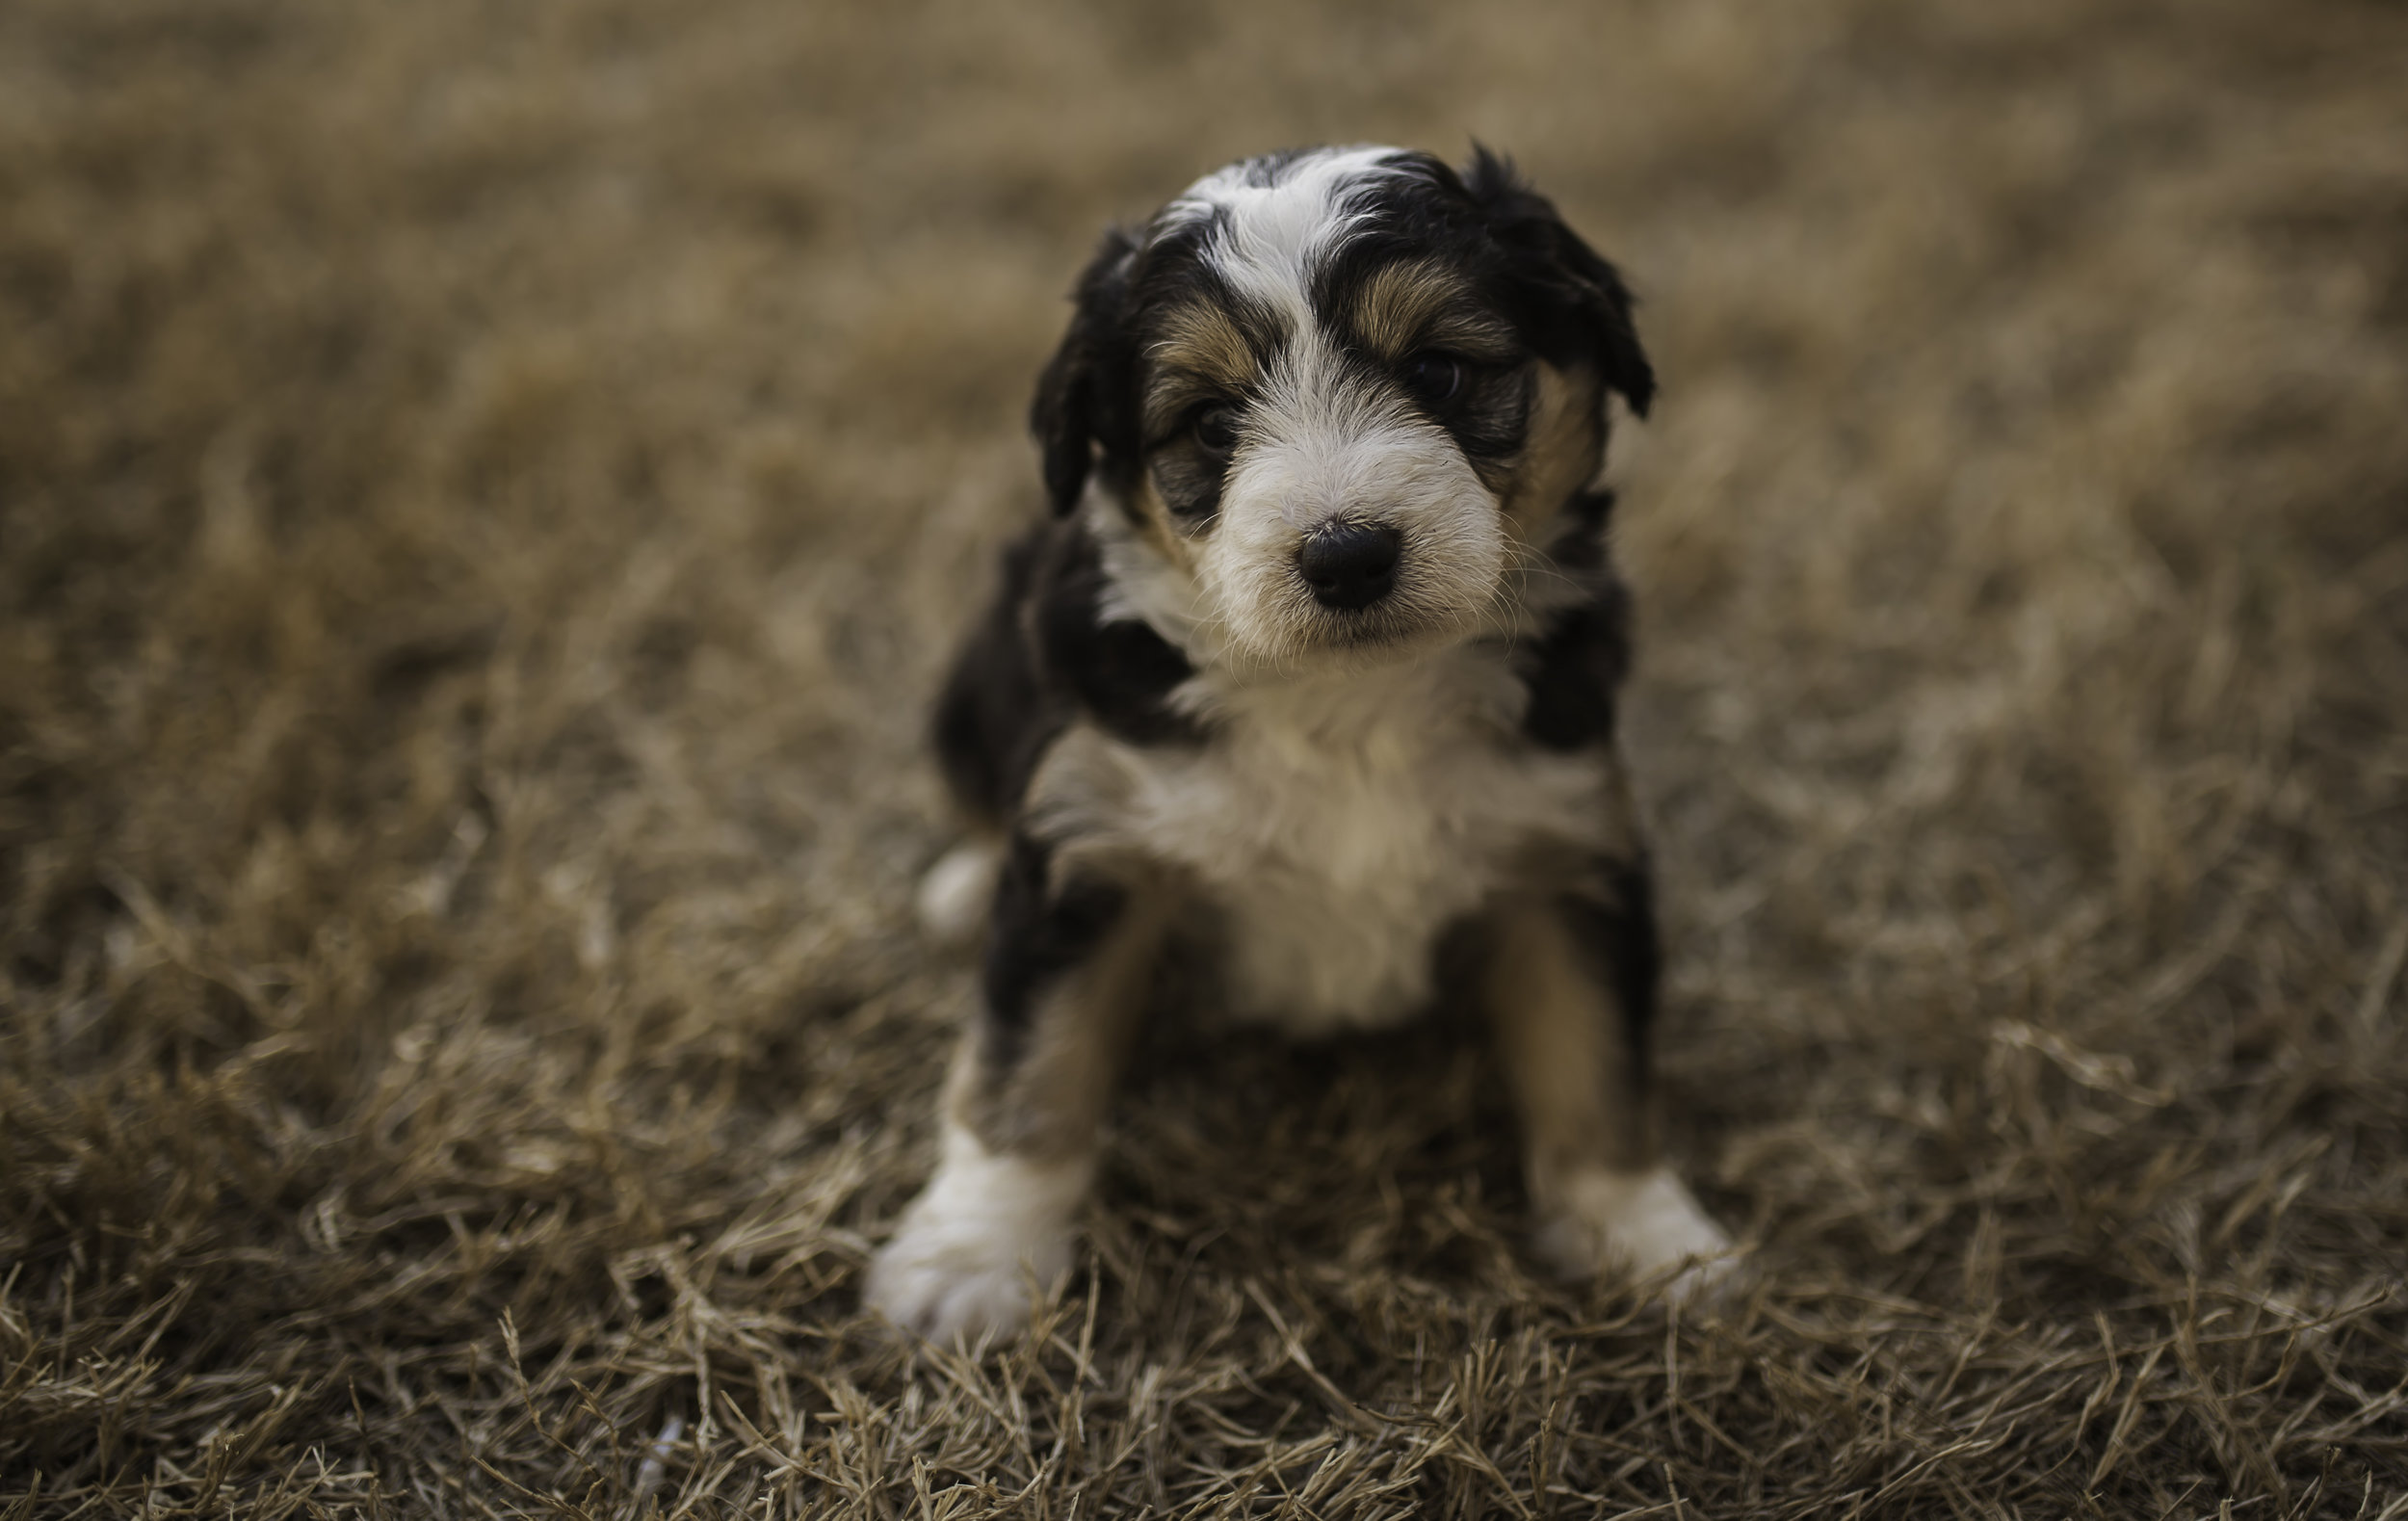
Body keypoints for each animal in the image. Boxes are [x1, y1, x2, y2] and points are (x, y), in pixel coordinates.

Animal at [867, 145, 1734, 1338]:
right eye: (1209, 422)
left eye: (1440, 371)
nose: (1347, 554)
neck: (1347, 701)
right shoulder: (1089, 853)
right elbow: (1029, 1064)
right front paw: (971, 1261)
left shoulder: (1568, 850)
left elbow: (1596, 1059)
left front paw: (1642, 1239)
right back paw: (960, 886)